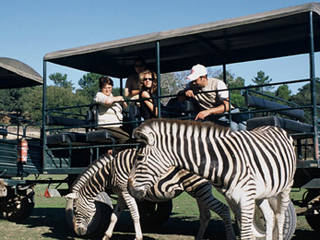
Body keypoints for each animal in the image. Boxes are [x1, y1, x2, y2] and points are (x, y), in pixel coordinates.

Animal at [65, 144, 235, 240]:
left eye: (75, 209)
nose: (79, 232)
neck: (109, 172)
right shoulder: (120, 195)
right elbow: (114, 216)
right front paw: (106, 236)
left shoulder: (126, 192)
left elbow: (135, 214)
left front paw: (138, 237)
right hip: (198, 190)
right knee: (206, 215)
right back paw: (198, 238)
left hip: (198, 188)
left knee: (223, 209)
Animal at [127, 118, 298, 240]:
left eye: (139, 157)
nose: (128, 187)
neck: (228, 160)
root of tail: (273, 126)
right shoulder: (232, 198)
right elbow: (245, 229)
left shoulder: (246, 197)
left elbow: (246, 233)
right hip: (262, 192)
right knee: (269, 217)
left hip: (285, 187)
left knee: (280, 217)